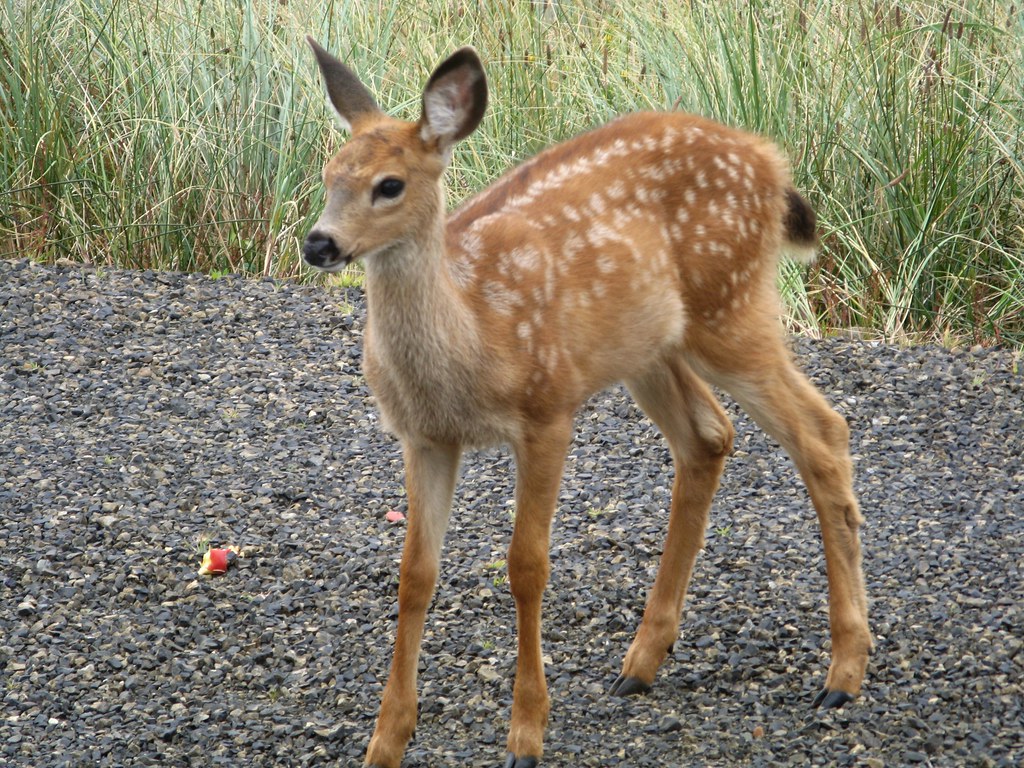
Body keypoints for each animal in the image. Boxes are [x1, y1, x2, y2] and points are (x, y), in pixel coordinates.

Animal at [301, 38, 871, 768]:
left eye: (389, 185)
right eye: (329, 175)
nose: (319, 243)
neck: (474, 334)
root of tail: (770, 160)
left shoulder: (548, 410)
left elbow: (527, 566)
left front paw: (526, 732)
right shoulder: (424, 436)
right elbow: (414, 575)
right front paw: (387, 740)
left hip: (729, 309)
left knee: (822, 432)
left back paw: (843, 673)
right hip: (650, 350)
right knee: (709, 435)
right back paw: (642, 662)